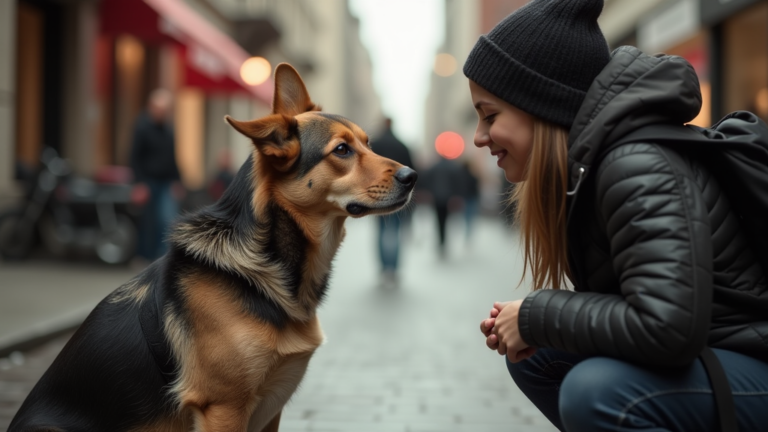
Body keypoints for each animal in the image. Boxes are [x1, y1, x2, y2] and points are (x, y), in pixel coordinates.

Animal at [9, 64, 416, 432]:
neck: (266, 262)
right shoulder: (223, 408)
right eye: (342, 150)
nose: (412, 176)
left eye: (369, 143)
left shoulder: (271, 408)